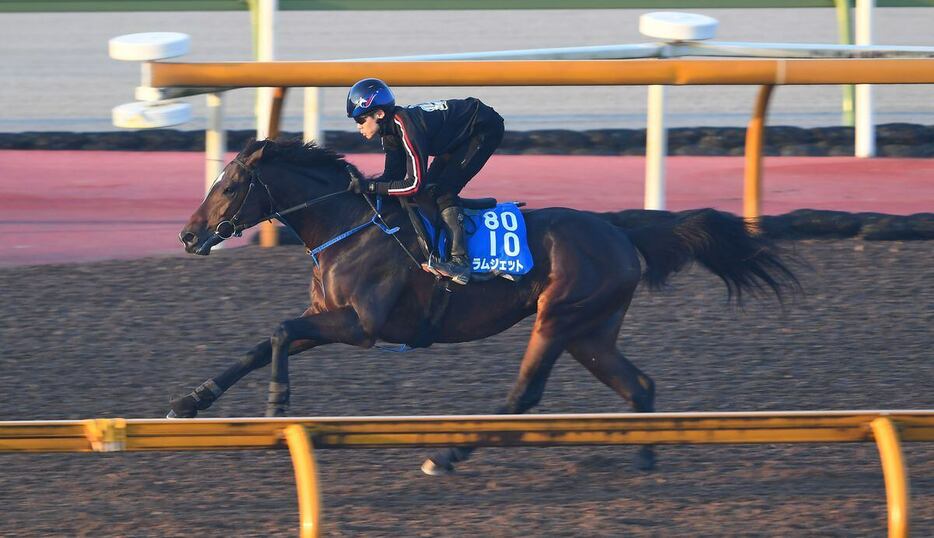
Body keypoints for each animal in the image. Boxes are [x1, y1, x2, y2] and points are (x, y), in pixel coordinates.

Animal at [179, 138, 800, 474]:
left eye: (230, 187)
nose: (188, 236)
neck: (349, 223)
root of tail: (618, 229)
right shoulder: (331, 319)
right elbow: (265, 341)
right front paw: (191, 400)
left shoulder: (361, 324)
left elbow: (281, 331)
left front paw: (277, 406)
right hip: (590, 331)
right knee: (638, 384)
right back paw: (645, 458)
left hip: (559, 318)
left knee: (523, 396)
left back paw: (447, 455)